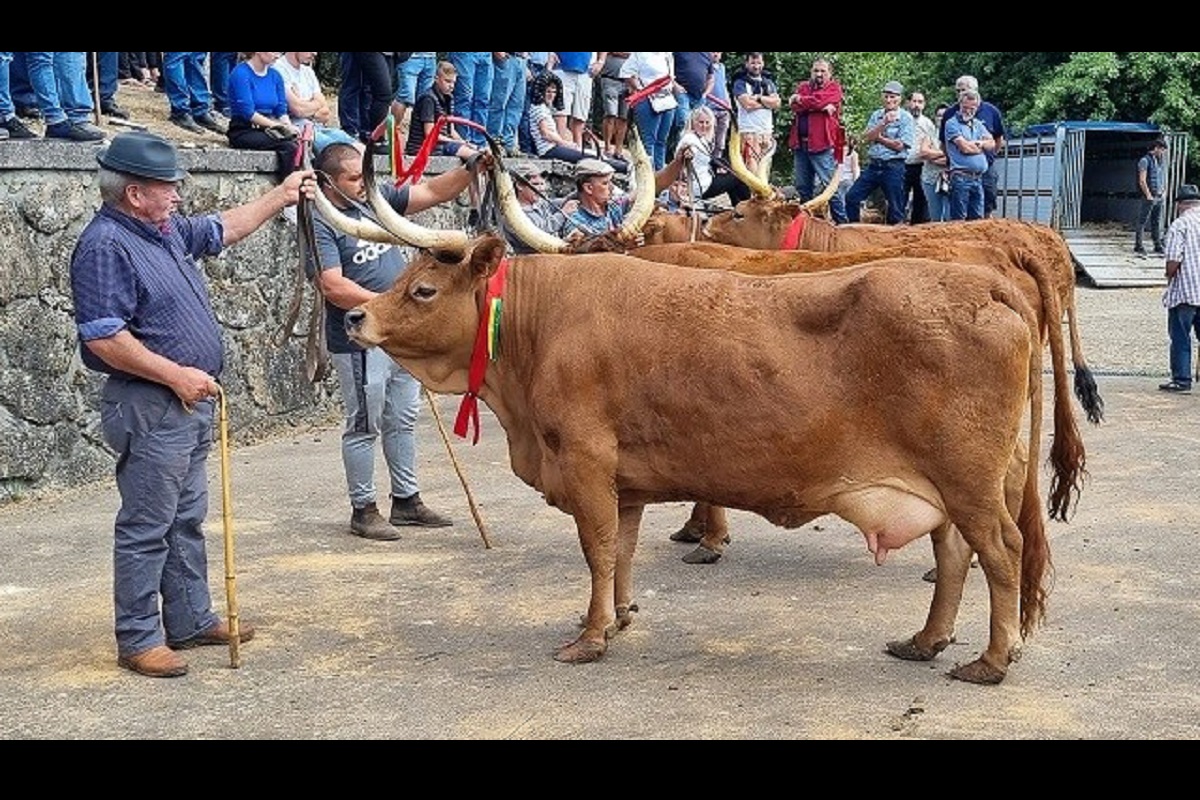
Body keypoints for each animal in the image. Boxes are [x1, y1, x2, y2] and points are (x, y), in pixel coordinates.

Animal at [340, 235, 1080, 686]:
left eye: (424, 290)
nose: (354, 318)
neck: (538, 325)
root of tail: (986, 281)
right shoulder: (623, 479)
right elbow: (623, 549)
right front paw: (620, 614)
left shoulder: (584, 461)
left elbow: (598, 549)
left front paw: (591, 635)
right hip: (952, 485)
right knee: (955, 555)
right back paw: (925, 640)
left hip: (970, 480)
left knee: (1002, 553)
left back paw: (992, 658)